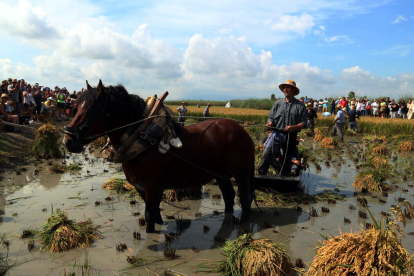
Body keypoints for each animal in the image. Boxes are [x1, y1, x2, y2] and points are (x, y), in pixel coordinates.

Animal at [63, 81, 256, 232]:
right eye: (75, 108)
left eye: (90, 110)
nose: (68, 141)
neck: (140, 135)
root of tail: (241, 130)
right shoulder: (141, 187)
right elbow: (155, 213)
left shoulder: (153, 185)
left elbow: (149, 215)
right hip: (221, 173)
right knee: (229, 196)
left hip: (240, 172)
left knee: (245, 198)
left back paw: (243, 225)